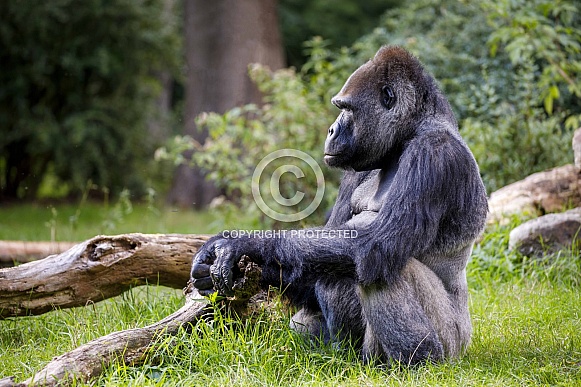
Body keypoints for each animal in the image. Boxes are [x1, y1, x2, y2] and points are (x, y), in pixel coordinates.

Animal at [193, 46, 488, 366]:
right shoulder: (355, 168)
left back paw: (420, 362)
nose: (331, 130)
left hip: (454, 344)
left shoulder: (434, 154)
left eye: (347, 108)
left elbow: (373, 244)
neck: (410, 133)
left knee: (378, 266)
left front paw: (245, 244)